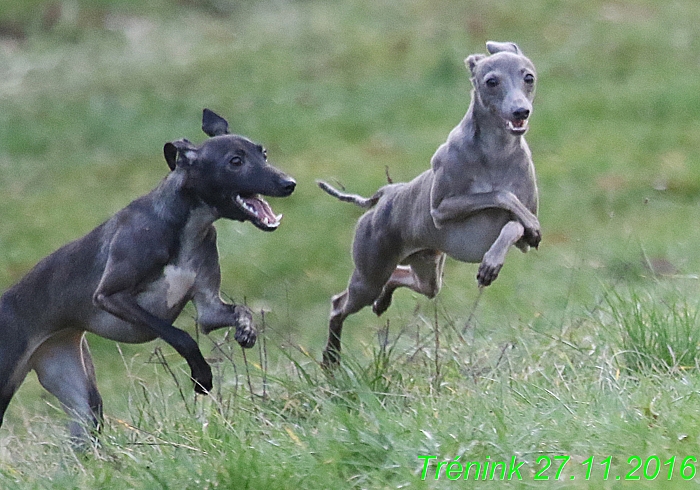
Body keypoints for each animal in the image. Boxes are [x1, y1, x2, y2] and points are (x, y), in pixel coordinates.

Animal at [0, 109, 294, 438]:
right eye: (235, 161)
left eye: (263, 153)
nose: (289, 183)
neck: (184, 226)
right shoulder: (110, 297)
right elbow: (180, 336)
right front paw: (201, 376)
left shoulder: (209, 308)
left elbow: (239, 311)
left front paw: (246, 331)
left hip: (77, 393)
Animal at [318, 42, 540, 366]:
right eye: (491, 81)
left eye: (528, 77)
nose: (520, 111)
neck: (497, 154)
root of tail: (385, 195)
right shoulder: (440, 211)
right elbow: (499, 195)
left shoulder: (521, 238)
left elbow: (515, 224)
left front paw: (494, 261)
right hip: (368, 275)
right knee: (338, 304)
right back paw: (331, 358)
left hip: (426, 268)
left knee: (402, 279)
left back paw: (382, 303)